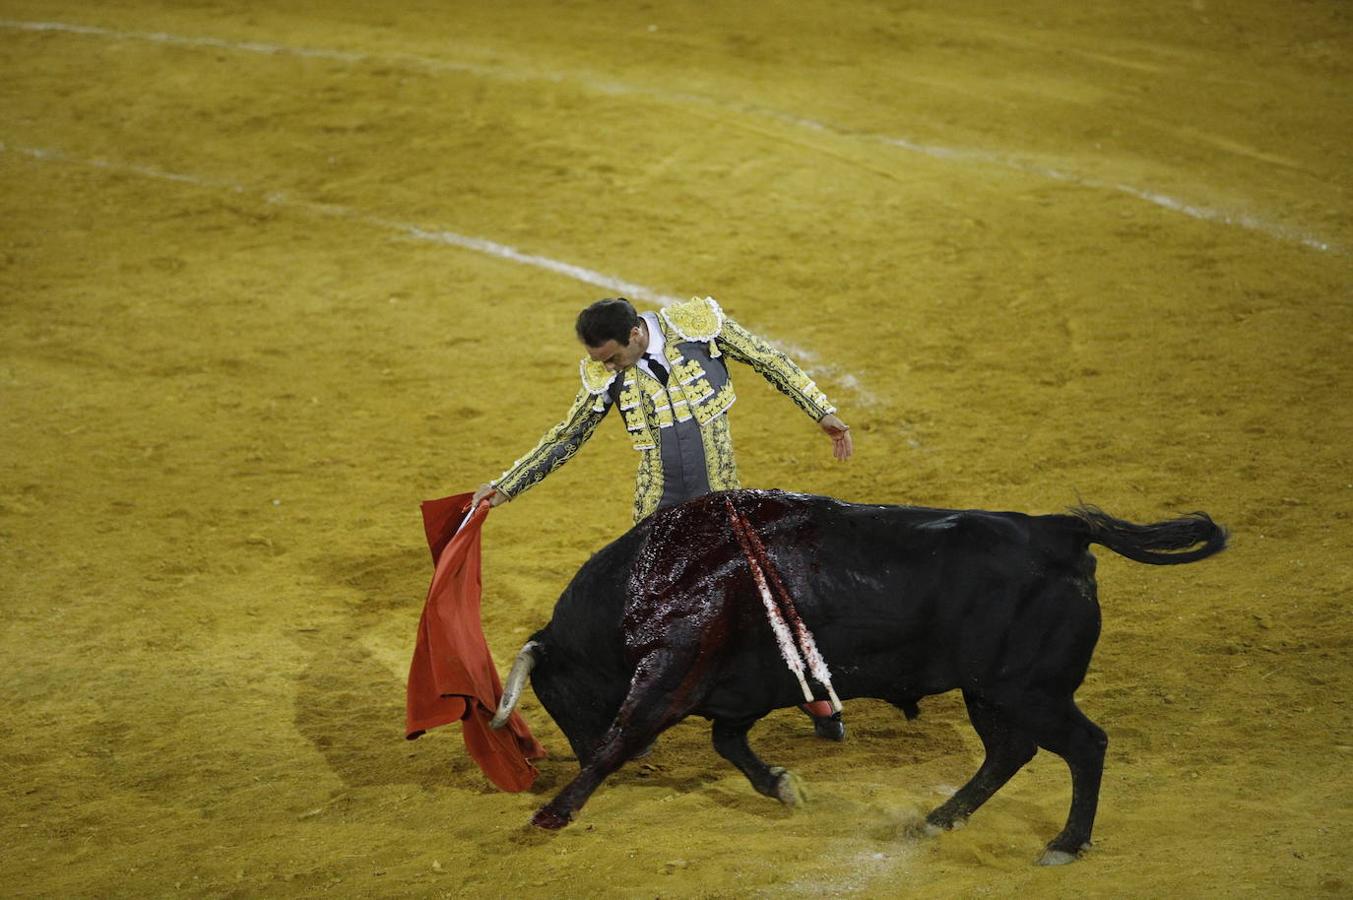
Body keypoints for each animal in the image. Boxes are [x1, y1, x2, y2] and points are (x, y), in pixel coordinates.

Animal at [489, 492, 1228, 866]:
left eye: (555, 696)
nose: (572, 749)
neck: (655, 578)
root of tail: (1059, 533)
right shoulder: (736, 691)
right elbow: (730, 743)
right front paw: (785, 788)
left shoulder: (670, 677)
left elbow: (626, 736)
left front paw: (552, 813)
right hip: (989, 692)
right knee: (1009, 751)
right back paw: (936, 821)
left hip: (1028, 690)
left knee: (1083, 746)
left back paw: (1065, 845)